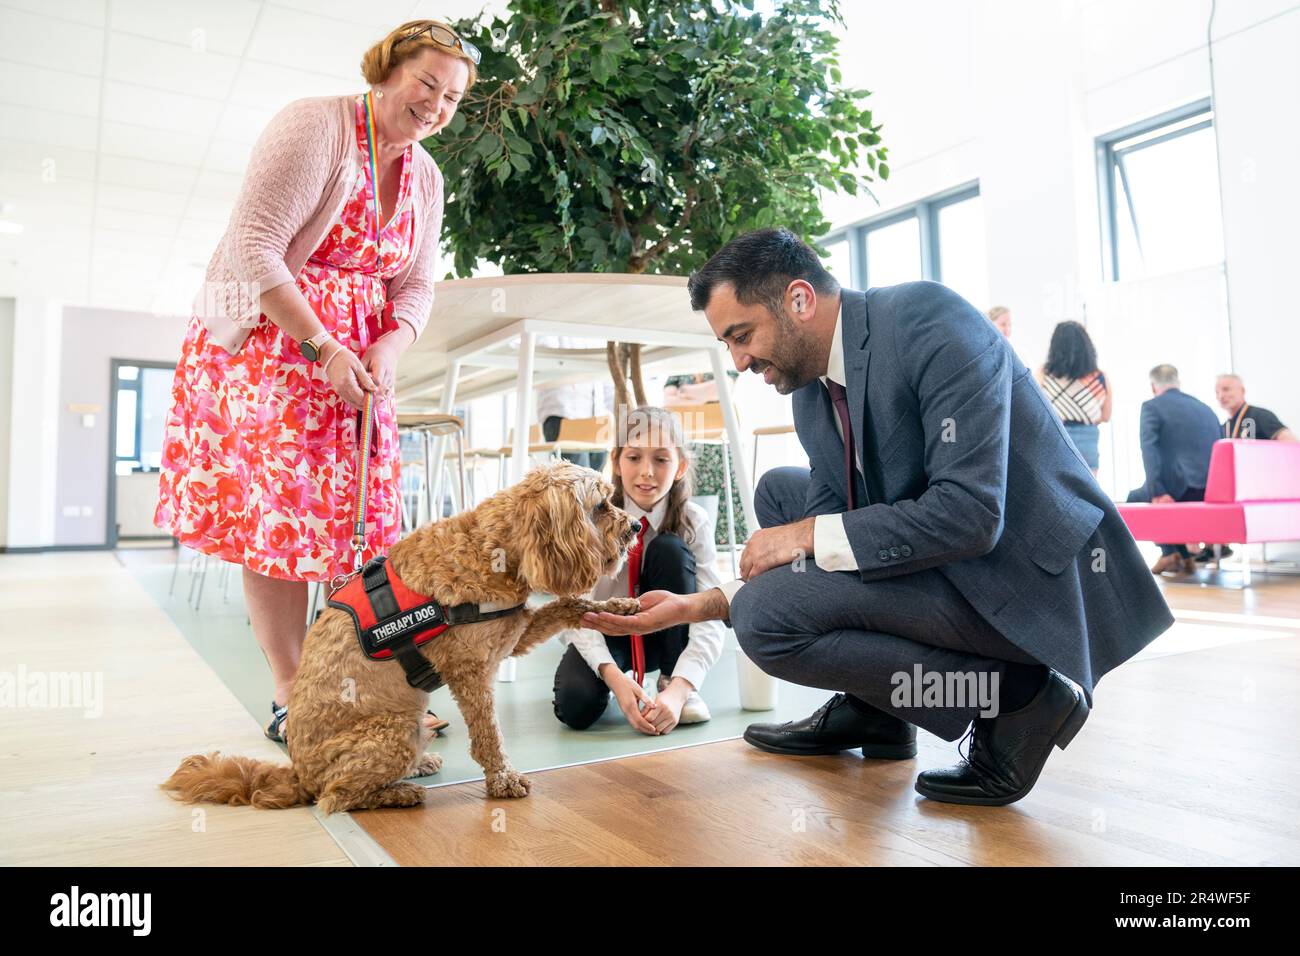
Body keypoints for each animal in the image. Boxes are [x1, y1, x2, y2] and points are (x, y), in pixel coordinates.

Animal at [165, 463, 642, 816]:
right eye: (601, 504)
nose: (637, 525)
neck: (491, 546)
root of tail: (299, 774)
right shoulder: (471, 671)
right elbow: (489, 733)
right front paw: (502, 779)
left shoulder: (513, 635)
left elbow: (570, 605)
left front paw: (622, 607)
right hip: (394, 727)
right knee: (335, 797)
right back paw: (396, 792)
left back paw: (416, 768)